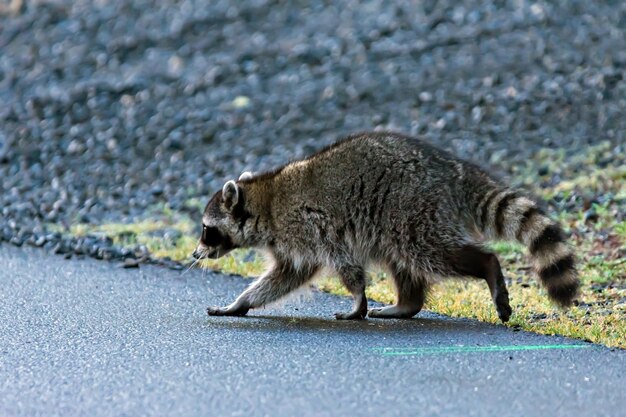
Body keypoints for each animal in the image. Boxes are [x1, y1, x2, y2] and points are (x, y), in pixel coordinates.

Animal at [193, 132, 576, 320]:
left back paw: (487, 265)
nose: (195, 254)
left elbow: (343, 264)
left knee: (428, 252)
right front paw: (241, 303)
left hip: (413, 207)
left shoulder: (307, 226)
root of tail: (452, 170)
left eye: (207, 229)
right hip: (399, 217)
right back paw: (408, 303)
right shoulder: (292, 243)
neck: (264, 201)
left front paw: (357, 298)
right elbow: (287, 276)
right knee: (402, 260)